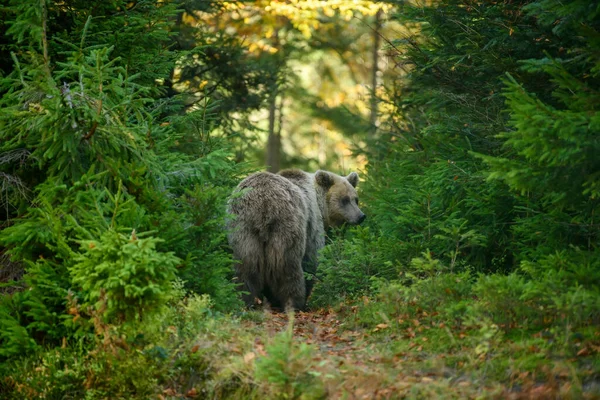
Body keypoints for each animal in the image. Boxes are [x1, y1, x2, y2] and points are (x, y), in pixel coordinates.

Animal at [226, 169, 364, 310]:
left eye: (356, 199)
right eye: (345, 200)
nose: (361, 216)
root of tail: (263, 204)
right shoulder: (312, 224)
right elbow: (311, 259)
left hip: (243, 229)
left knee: (246, 266)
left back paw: (245, 299)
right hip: (287, 223)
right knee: (287, 266)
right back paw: (293, 302)